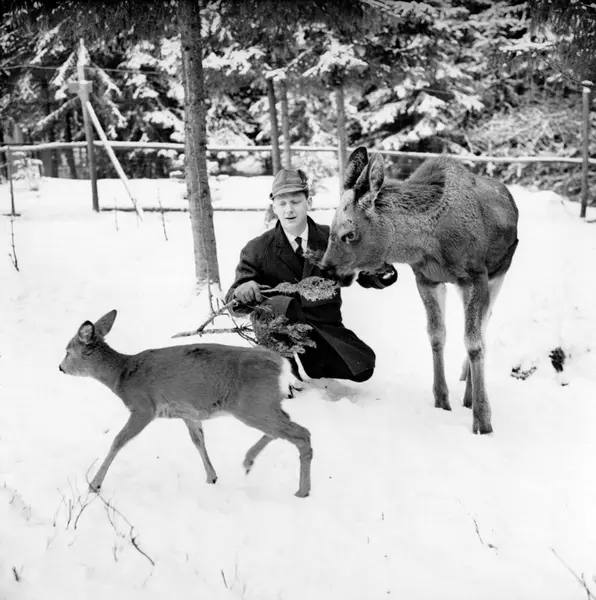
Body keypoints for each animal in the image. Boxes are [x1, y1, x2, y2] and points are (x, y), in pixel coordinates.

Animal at [59, 310, 312, 497]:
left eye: (68, 351)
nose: (60, 367)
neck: (122, 376)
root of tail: (281, 365)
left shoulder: (143, 406)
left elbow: (118, 441)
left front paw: (94, 484)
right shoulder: (187, 413)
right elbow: (198, 440)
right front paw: (212, 477)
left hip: (253, 404)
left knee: (301, 434)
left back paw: (301, 491)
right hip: (265, 404)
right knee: (286, 427)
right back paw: (249, 461)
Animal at [321, 147, 519, 434]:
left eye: (349, 233)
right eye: (330, 230)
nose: (326, 270)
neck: (429, 243)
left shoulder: (475, 276)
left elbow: (474, 343)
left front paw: (483, 421)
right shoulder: (426, 278)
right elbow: (436, 335)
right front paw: (442, 401)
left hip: (499, 273)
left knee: (483, 328)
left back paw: (471, 394)